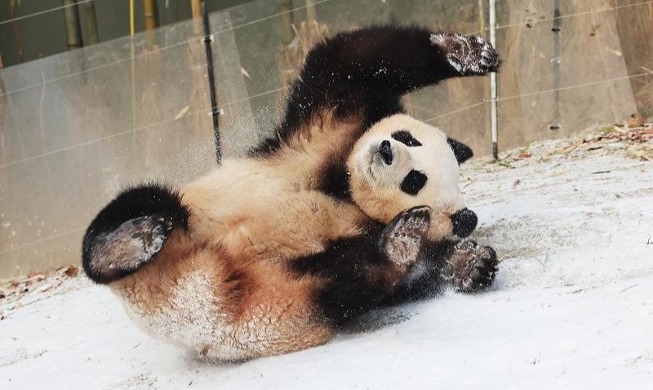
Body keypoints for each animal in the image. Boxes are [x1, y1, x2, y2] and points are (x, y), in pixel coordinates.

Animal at [83, 25, 500, 362]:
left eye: (414, 180)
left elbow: (419, 270)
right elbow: (351, 62)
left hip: (286, 298)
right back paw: (134, 239)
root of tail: (201, 287)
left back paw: (398, 241)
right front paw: (467, 51)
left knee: (348, 279)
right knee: (138, 206)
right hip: (188, 212)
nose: (384, 150)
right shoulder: (320, 142)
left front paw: (470, 262)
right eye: (408, 138)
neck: (346, 191)